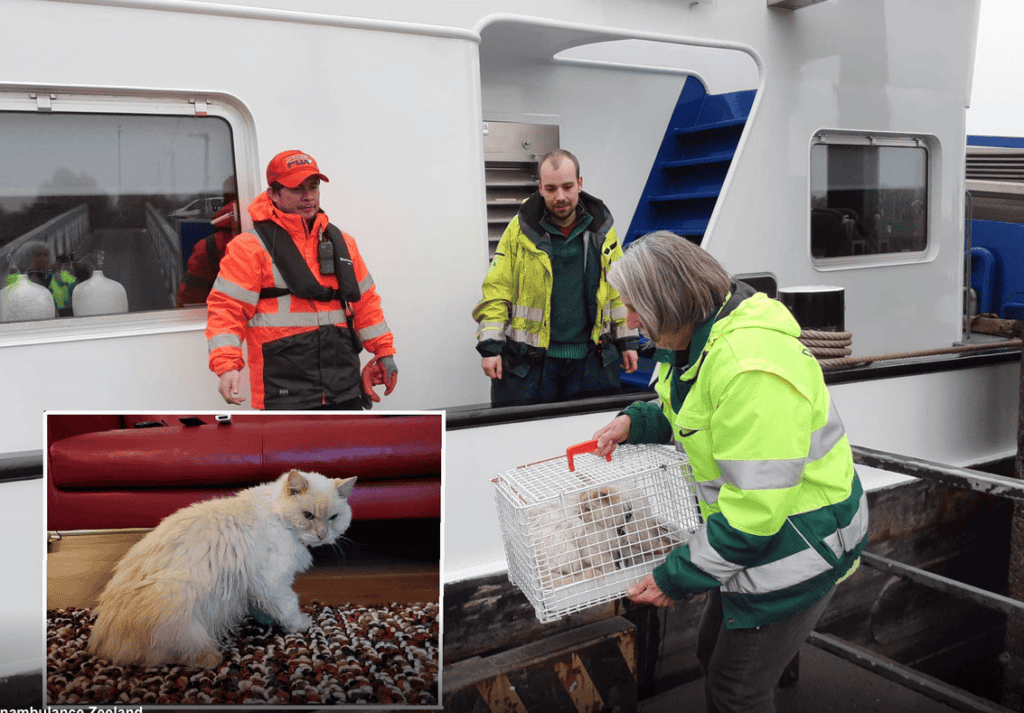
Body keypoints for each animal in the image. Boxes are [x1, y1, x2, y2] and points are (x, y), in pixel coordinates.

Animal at [89, 467, 360, 667]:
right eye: (308, 516)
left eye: (333, 518)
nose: (322, 535)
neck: (277, 516)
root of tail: (99, 645)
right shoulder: (272, 582)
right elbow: (289, 607)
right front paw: (300, 625)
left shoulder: (255, 586)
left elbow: (263, 607)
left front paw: (267, 621)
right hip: (178, 595)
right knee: (170, 656)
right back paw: (212, 658)